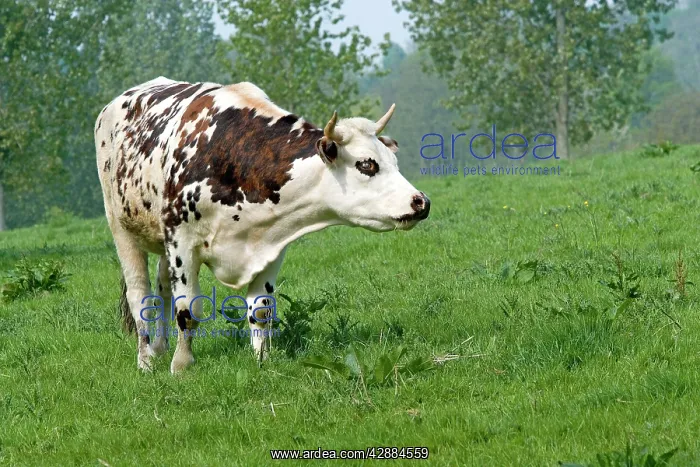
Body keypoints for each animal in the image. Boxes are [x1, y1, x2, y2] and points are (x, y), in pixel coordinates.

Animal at [95, 77, 431, 373]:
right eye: (367, 164)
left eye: (393, 161)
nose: (421, 202)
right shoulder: (182, 242)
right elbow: (189, 309)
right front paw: (182, 366)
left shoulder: (270, 247)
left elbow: (261, 308)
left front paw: (261, 362)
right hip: (121, 228)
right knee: (140, 296)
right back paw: (146, 360)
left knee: (163, 289)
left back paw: (160, 347)